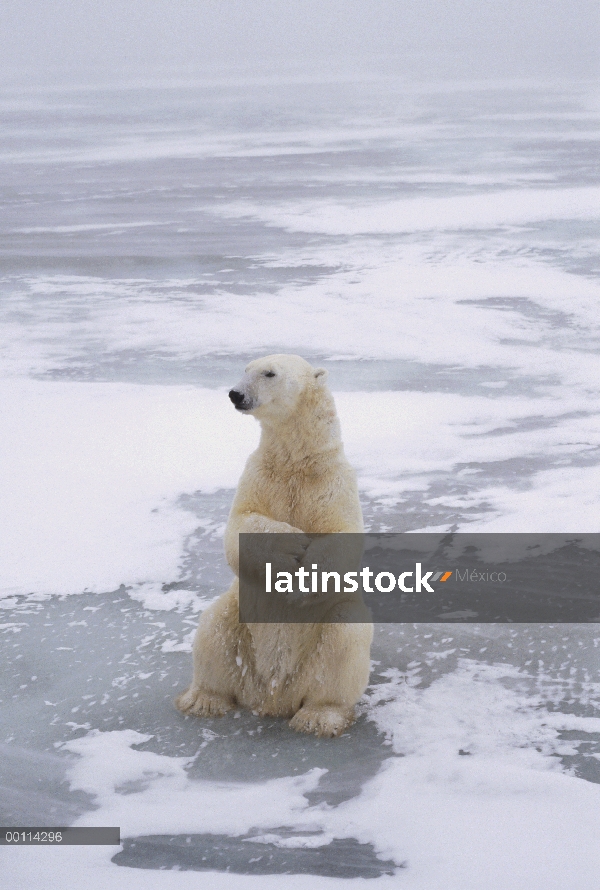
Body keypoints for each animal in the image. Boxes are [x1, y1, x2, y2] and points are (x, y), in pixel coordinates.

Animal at [173, 354, 372, 736]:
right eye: (244, 369)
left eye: (269, 373)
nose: (235, 394)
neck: (296, 461)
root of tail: (272, 697)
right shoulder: (259, 473)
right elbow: (241, 524)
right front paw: (289, 544)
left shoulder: (334, 481)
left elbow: (341, 536)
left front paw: (300, 583)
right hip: (237, 618)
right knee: (213, 631)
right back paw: (204, 700)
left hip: (323, 641)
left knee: (343, 639)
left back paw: (318, 718)